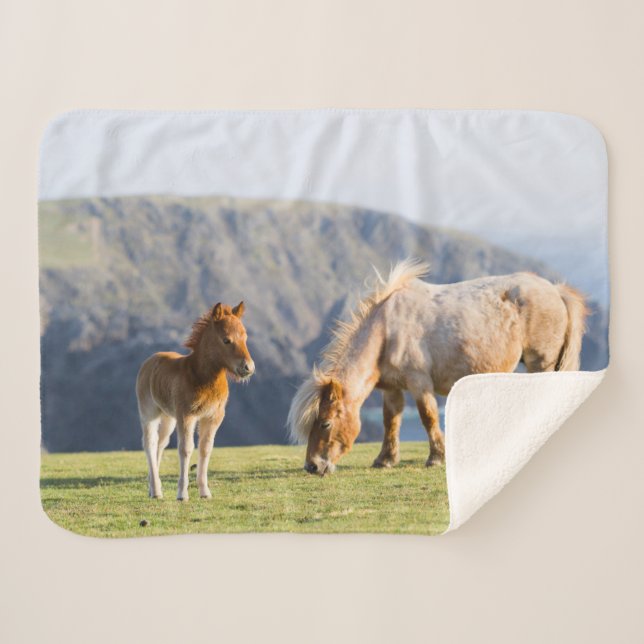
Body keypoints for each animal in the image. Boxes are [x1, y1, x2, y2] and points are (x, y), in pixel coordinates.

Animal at [136, 302, 254, 500]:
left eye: (245, 337)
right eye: (226, 340)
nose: (248, 368)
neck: (201, 376)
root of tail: (150, 360)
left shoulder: (213, 417)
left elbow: (205, 448)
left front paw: (205, 491)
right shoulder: (187, 415)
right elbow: (186, 449)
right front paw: (182, 494)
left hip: (169, 417)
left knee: (161, 443)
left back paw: (153, 488)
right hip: (149, 412)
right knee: (150, 443)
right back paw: (156, 491)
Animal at [287, 259, 588, 476]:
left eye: (325, 423)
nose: (312, 466)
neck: (387, 331)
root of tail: (555, 290)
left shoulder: (419, 383)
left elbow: (428, 417)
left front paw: (436, 458)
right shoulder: (391, 388)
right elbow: (390, 420)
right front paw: (385, 459)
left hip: (541, 363)